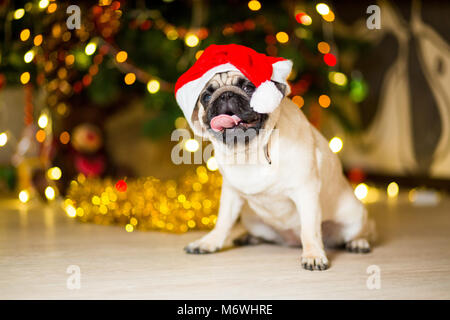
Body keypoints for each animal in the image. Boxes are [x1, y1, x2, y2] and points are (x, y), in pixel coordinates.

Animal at [183, 71, 372, 272]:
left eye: (248, 87)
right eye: (206, 97)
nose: (226, 94)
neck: (251, 151)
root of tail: (291, 240)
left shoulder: (306, 192)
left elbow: (310, 229)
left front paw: (313, 255)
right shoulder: (231, 193)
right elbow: (223, 222)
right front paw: (208, 242)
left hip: (355, 217)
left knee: (365, 230)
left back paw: (359, 242)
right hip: (251, 219)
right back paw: (248, 237)